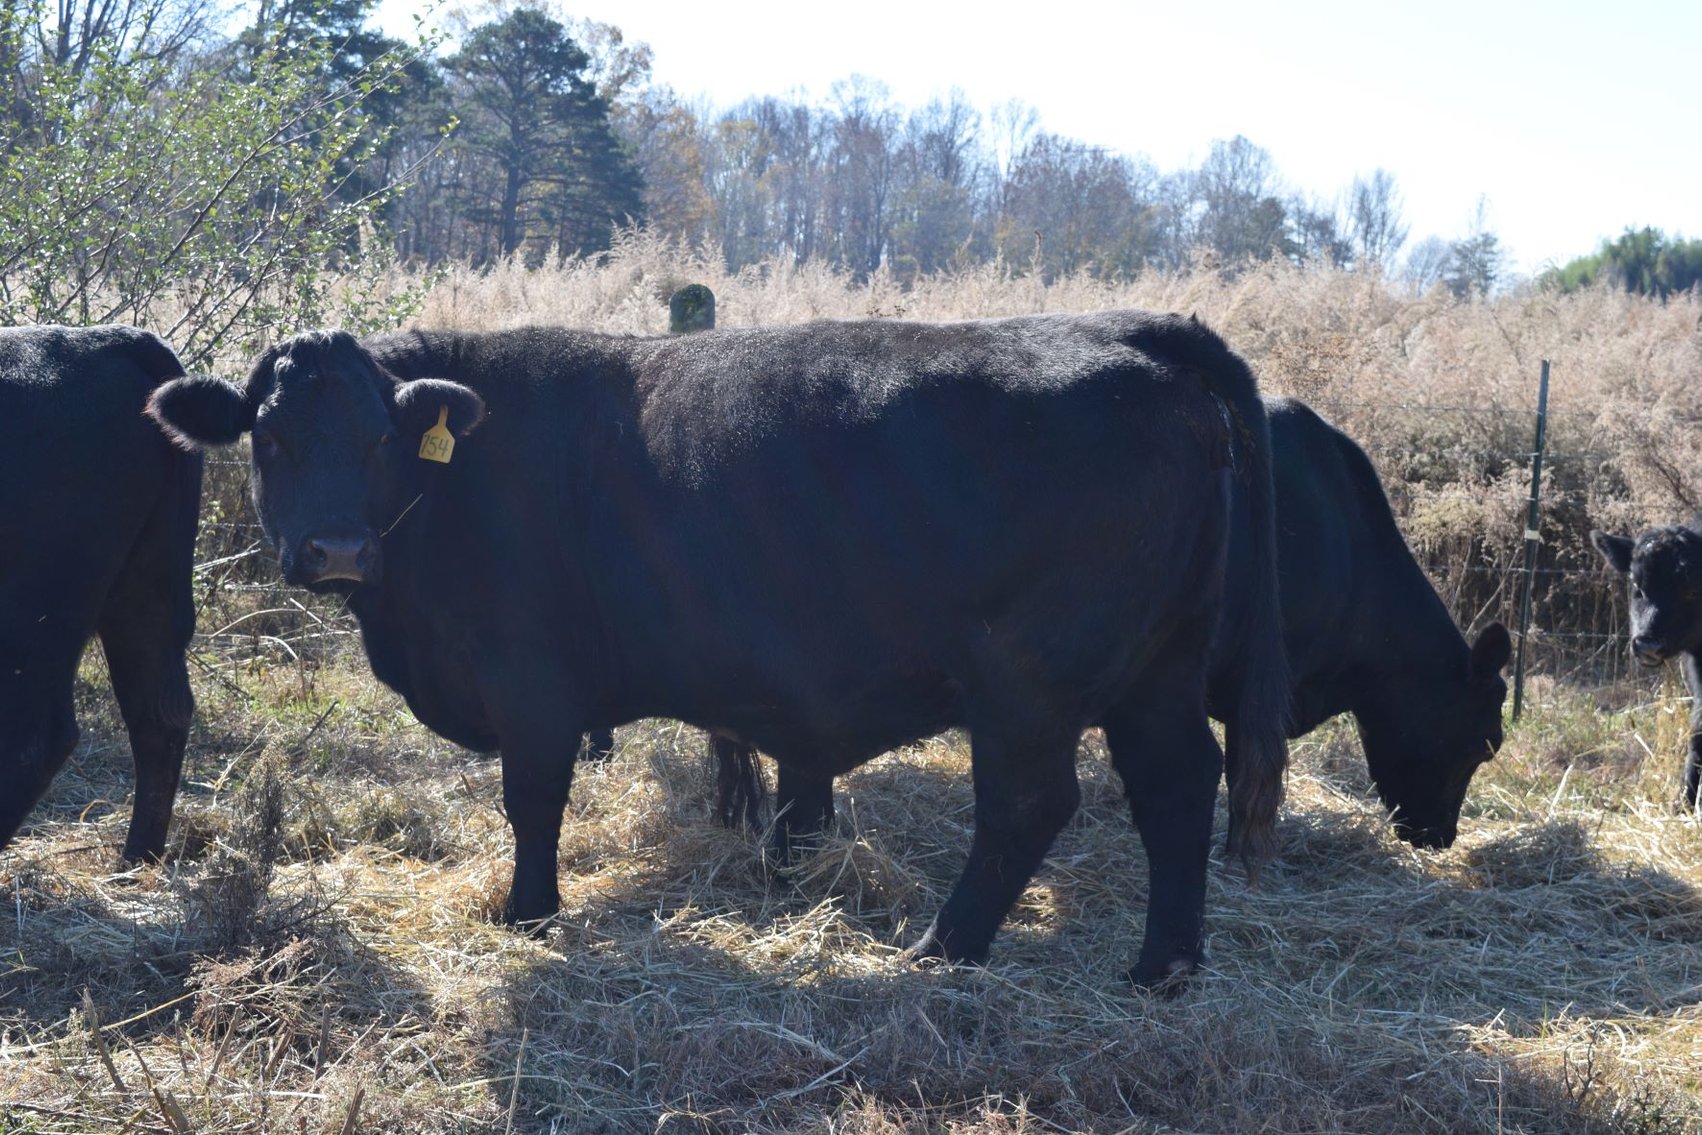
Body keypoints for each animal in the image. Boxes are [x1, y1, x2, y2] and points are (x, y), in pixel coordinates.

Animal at [1, 324, 202, 861]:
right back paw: (136, 861)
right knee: (157, 715)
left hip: (37, 612)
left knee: (34, 737)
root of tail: (106, 339)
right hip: (146, 587)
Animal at [144, 311, 1291, 986]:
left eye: (381, 436)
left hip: (1030, 680)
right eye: (270, 435)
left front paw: (529, 915)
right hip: (1157, 669)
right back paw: (1161, 967)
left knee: (1030, 804)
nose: (336, 548)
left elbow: (532, 800)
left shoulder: (532, 683)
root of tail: (1140, 348)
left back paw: (944, 948)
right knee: (1176, 787)